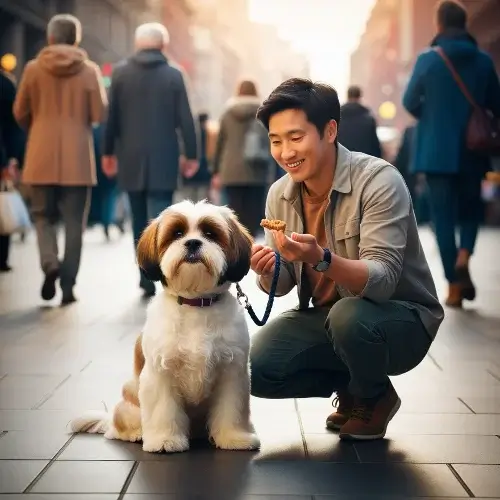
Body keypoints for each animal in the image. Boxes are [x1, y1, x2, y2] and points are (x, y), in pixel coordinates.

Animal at [70, 199, 262, 454]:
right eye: (177, 233)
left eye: (210, 234)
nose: (192, 242)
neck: (195, 304)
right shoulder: (160, 373)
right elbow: (164, 409)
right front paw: (164, 440)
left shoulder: (232, 372)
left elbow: (232, 408)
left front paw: (234, 438)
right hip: (129, 405)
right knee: (118, 429)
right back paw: (136, 433)